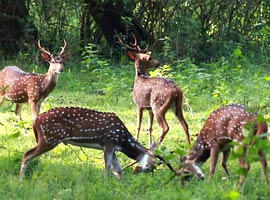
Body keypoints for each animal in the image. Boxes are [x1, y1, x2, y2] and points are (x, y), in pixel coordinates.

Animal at [19, 107, 156, 180]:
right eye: (153, 160)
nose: (148, 169)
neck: (123, 141)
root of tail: (35, 121)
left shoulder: (113, 148)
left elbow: (118, 169)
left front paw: (120, 183)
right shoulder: (109, 142)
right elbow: (107, 166)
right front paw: (106, 182)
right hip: (49, 139)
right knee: (27, 154)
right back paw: (21, 180)